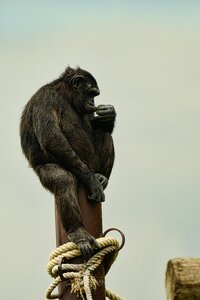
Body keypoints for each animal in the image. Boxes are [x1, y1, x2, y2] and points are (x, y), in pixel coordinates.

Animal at [20, 67, 115, 256]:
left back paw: (102, 177)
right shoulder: (46, 99)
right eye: (92, 93)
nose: (93, 100)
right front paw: (92, 182)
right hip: (52, 168)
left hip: (92, 164)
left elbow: (96, 122)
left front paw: (110, 113)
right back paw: (78, 231)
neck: (66, 96)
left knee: (104, 131)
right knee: (62, 179)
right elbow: (52, 137)